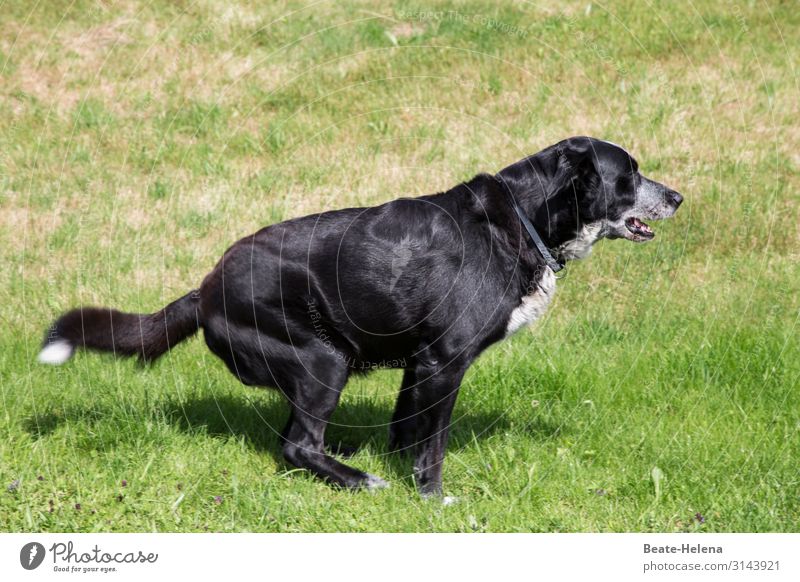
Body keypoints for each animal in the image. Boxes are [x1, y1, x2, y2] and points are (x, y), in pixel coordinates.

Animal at [39, 136, 680, 498]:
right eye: (630, 173)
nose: (677, 197)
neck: (521, 217)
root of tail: (203, 290)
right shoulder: (446, 362)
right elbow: (432, 446)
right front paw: (433, 500)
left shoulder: (419, 363)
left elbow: (405, 430)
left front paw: (404, 478)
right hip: (325, 358)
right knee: (297, 446)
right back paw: (359, 482)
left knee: (295, 441)